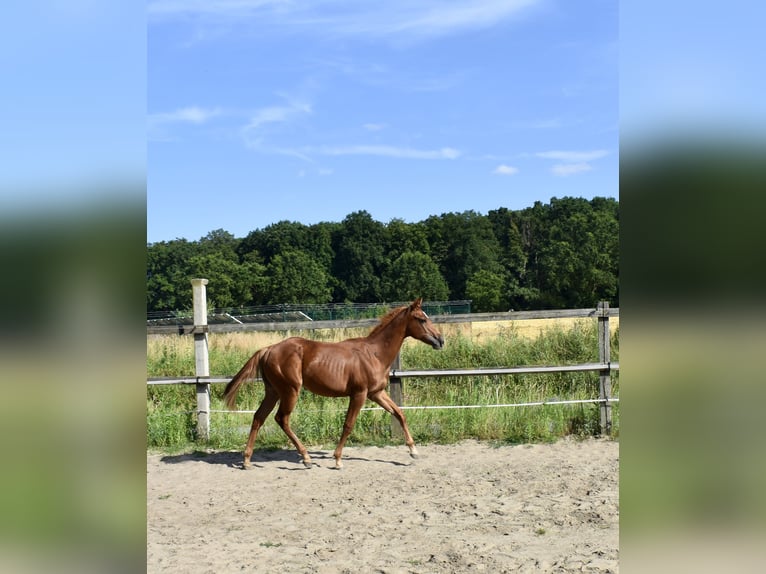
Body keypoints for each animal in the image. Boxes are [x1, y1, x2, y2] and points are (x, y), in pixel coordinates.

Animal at [222, 298, 444, 469]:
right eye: (422, 319)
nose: (440, 340)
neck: (375, 354)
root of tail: (268, 349)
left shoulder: (377, 393)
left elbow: (399, 413)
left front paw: (413, 451)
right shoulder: (359, 394)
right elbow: (348, 424)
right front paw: (337, 460)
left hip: (273, 391)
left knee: (259, 417)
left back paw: (247, 461)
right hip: (290, 390)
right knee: (281, 419)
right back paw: (306, 458)